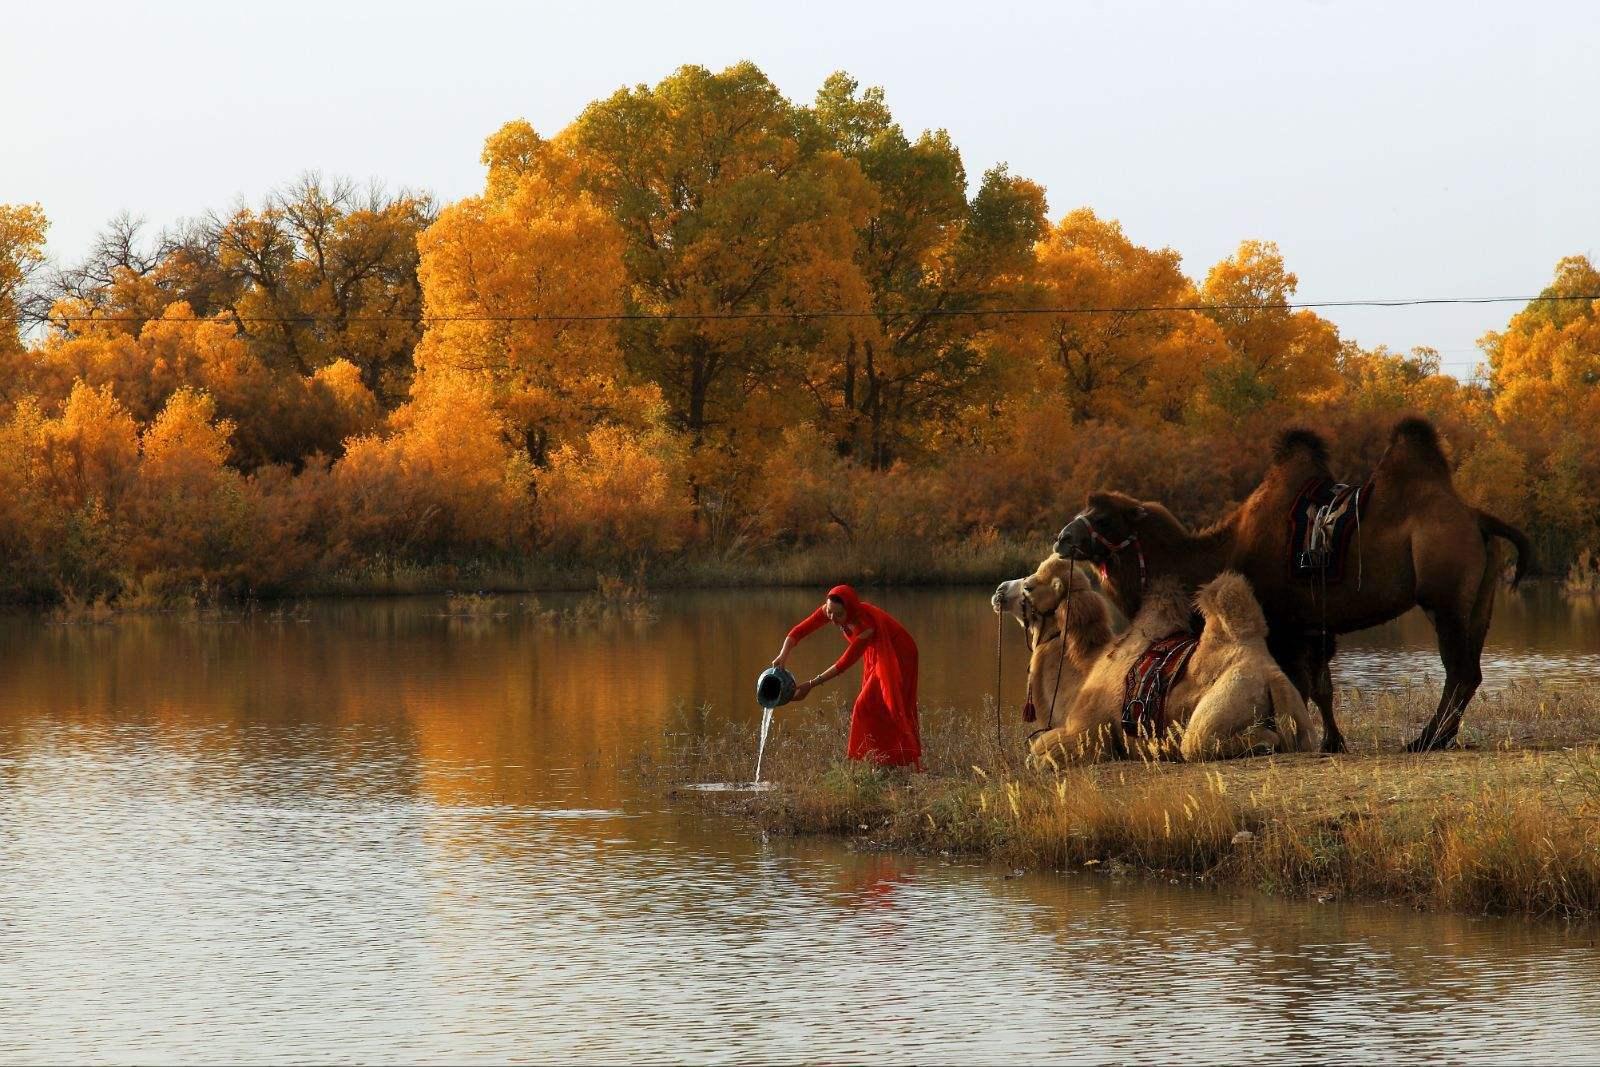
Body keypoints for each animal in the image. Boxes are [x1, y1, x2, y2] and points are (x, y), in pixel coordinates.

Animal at [1056, 412, 1529, 755]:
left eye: (1102, 519)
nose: (1062, 538)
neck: (1222, 549)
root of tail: (1477, 519)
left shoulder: (1285, 625)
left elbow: (1299, 684)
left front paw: (1305, 739)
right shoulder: (1313, 625)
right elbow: (1321, 687)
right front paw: (1332, 742)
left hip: (1444, 596)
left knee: (1458, 670)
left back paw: (1425, 740)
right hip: (1480, 599)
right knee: (1469, 670)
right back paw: (1437, 738)